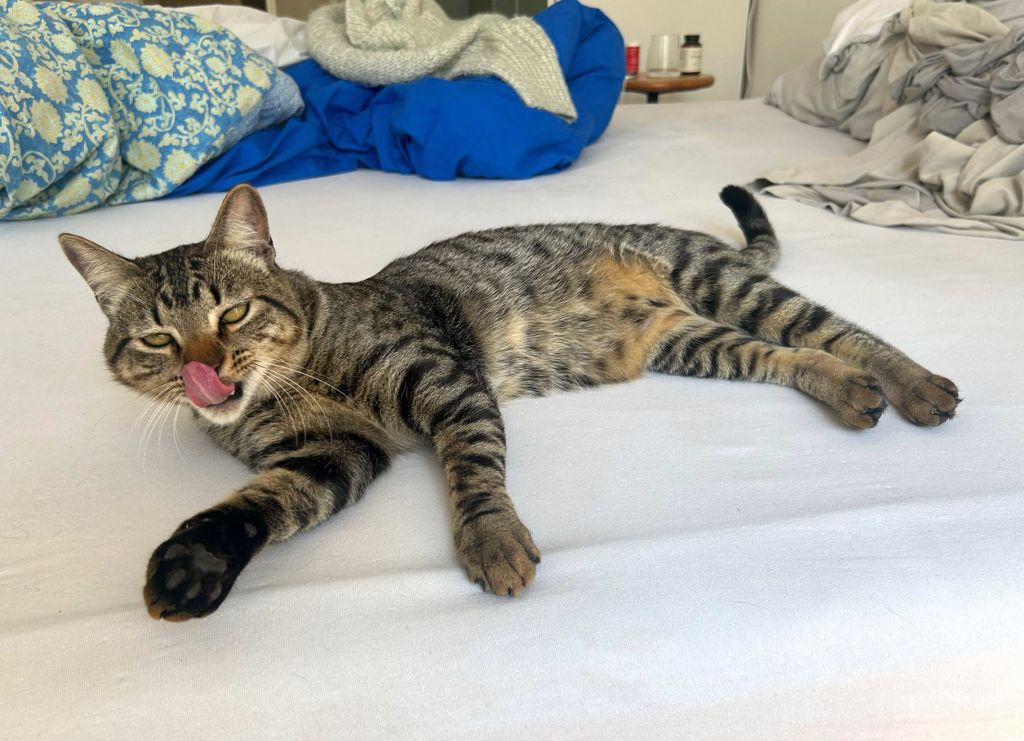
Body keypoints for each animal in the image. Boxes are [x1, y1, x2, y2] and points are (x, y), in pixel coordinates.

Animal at [60, 184, 960, 621]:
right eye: (158, 340)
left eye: (232, 314)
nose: (205, 370)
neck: (293, 381)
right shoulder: (330, 456)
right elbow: (254, 506)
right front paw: (193, 563)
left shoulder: (446, 381)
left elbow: (474, 469)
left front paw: (492, 539)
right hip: (695, 340)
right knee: (793, 356)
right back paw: (850, 390)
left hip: (726, 286)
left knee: (841, 330)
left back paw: (913, 383)